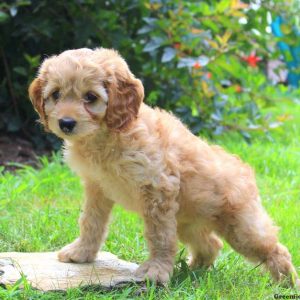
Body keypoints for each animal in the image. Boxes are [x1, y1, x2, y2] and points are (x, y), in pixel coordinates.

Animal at [28, 47, 298, 286]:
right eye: (55, 95)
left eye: (90, 97)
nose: (66, 123)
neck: (108, 136)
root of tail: (245, 171)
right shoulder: (97, 188)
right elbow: (91, 221)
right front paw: (81, 253)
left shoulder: (157, 188)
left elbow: (159, 236)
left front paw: (155, 272)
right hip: (188, 223)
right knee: (211, 245)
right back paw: (193, 272)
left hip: (241, 227)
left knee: (274, 248)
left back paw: (286, 284)